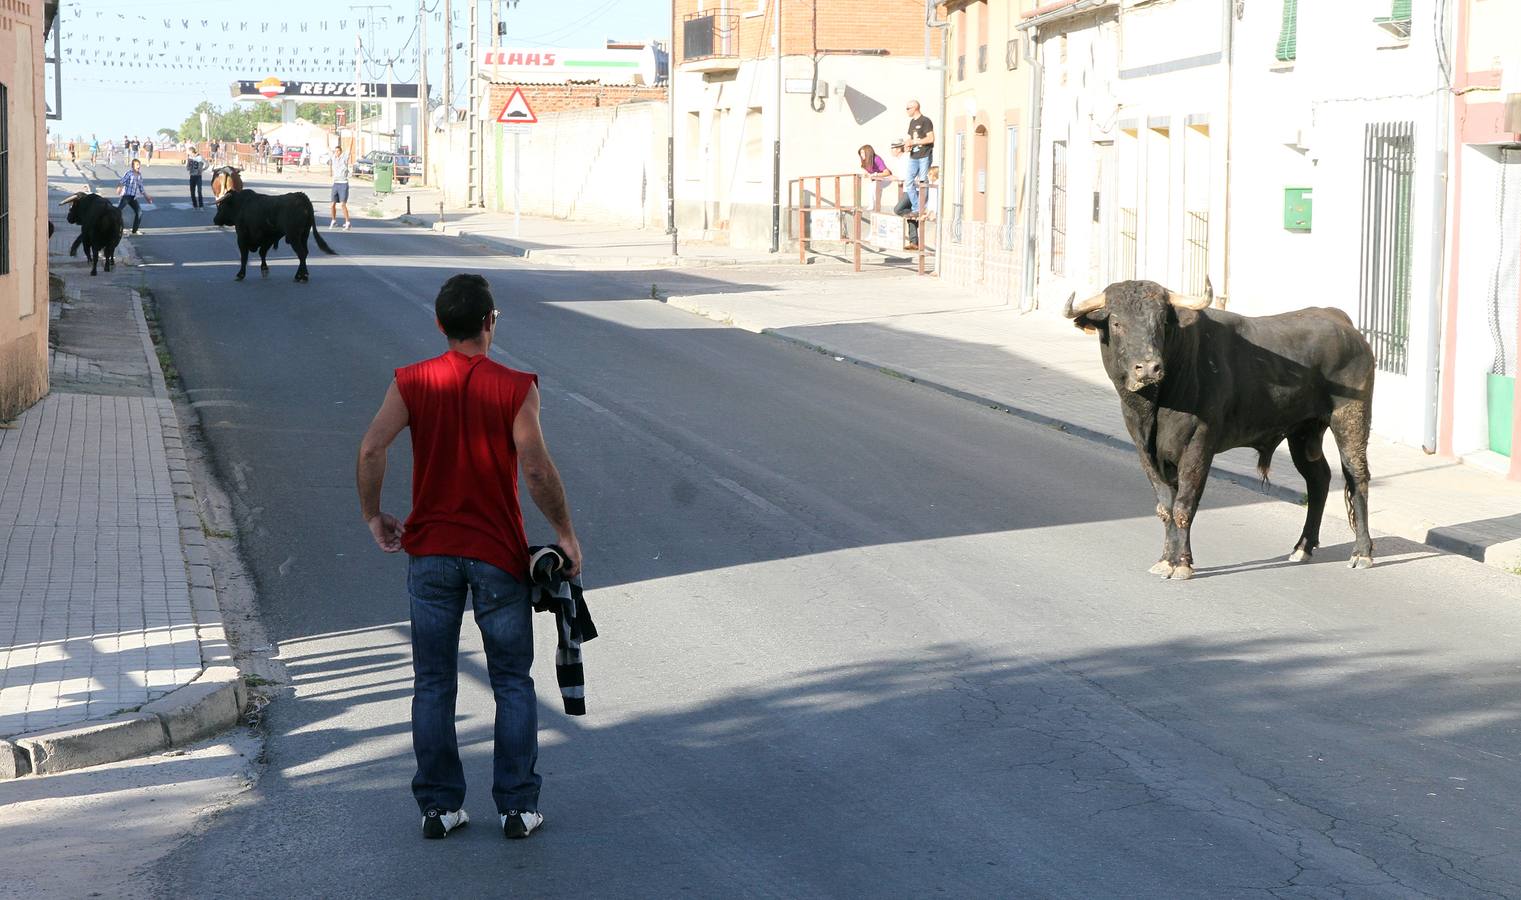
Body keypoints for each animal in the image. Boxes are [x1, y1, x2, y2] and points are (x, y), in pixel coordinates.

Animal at [1070, 278, 1381, 580]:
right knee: (1318, 479)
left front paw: (1182, 564)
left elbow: (1184, 505)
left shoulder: (1198, 447)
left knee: (1357, 476)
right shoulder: (1145, 451)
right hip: (1303, 431)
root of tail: (1339, 319)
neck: (1154, 405)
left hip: (1350, 418)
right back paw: (1302, 547)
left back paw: (1361, 553)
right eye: (1116, 322)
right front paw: (1165, 561)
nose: (1148, 368)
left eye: (1161, 321)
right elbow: (1166, 506)